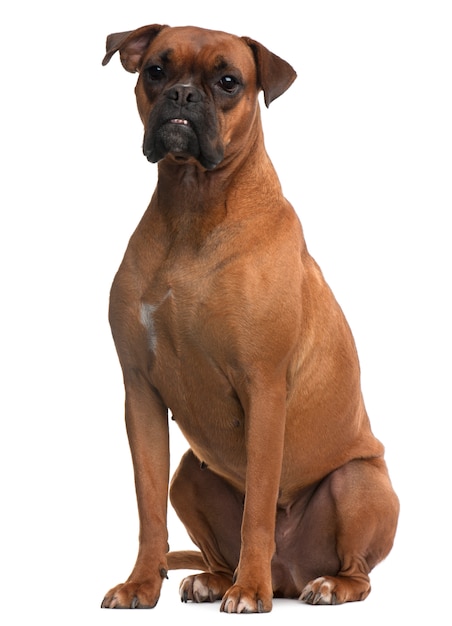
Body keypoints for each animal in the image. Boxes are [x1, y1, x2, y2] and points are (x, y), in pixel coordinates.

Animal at [100, 25, 398, 616]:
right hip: (188, 474)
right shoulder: (140, 393)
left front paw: (249, 592)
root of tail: (289, 573)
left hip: (357, 481)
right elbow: (148, 508)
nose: (183, 95)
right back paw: (215, 578)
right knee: (211, 541)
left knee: (357, 571)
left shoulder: (263, 389)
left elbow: (257, 507)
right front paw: (141, 584)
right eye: (156, 71)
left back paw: (317, 584)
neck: (193, 205)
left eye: (228, 81)